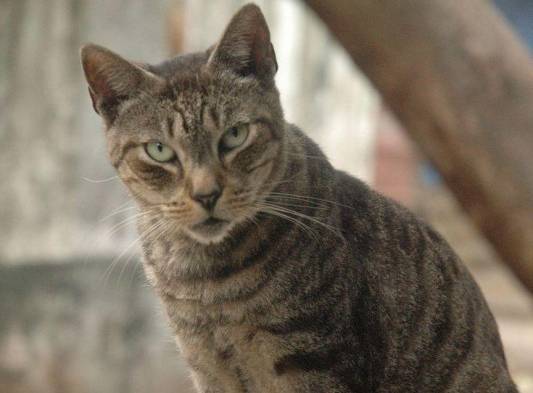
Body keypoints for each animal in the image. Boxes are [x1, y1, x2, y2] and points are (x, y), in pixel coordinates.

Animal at [79, 3, 516, 392]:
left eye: (235, 135)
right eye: (158, 150)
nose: (206, 194)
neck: (206, 281)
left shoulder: (313, 360)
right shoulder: (205, 364)